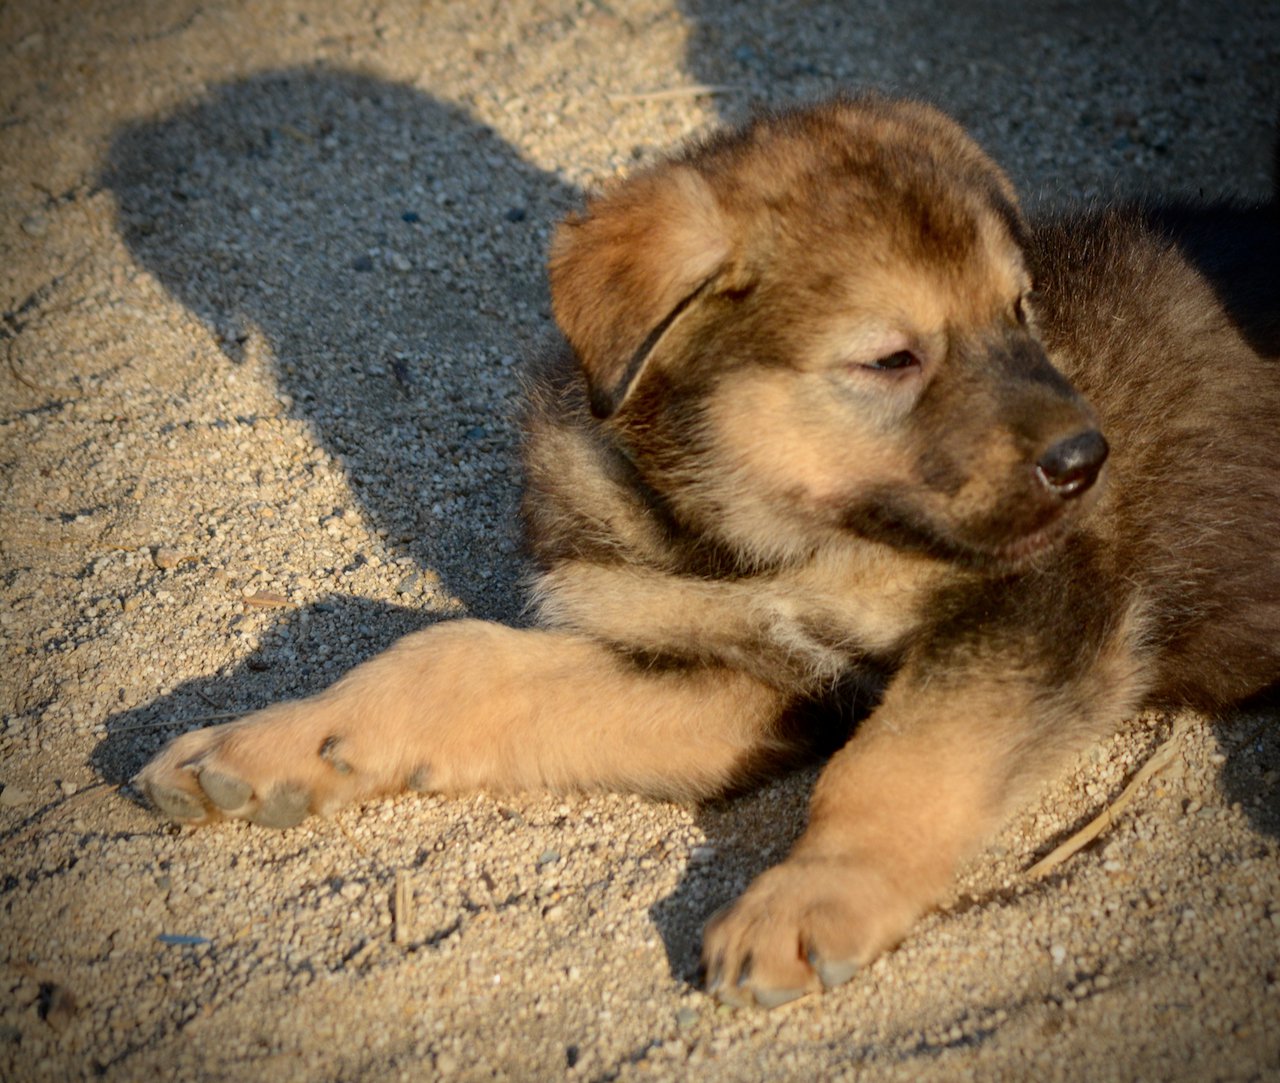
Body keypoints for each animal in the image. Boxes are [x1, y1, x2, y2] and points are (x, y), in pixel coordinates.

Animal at [140, 97, 1280, 1013]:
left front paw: (812, 894)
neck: (763, 539)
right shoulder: (736, 676)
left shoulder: (1038, 602)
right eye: (889, 360)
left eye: (1019, 312)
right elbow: (458, 655)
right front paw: (280, 744)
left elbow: (898, 758)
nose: (1087, 459)